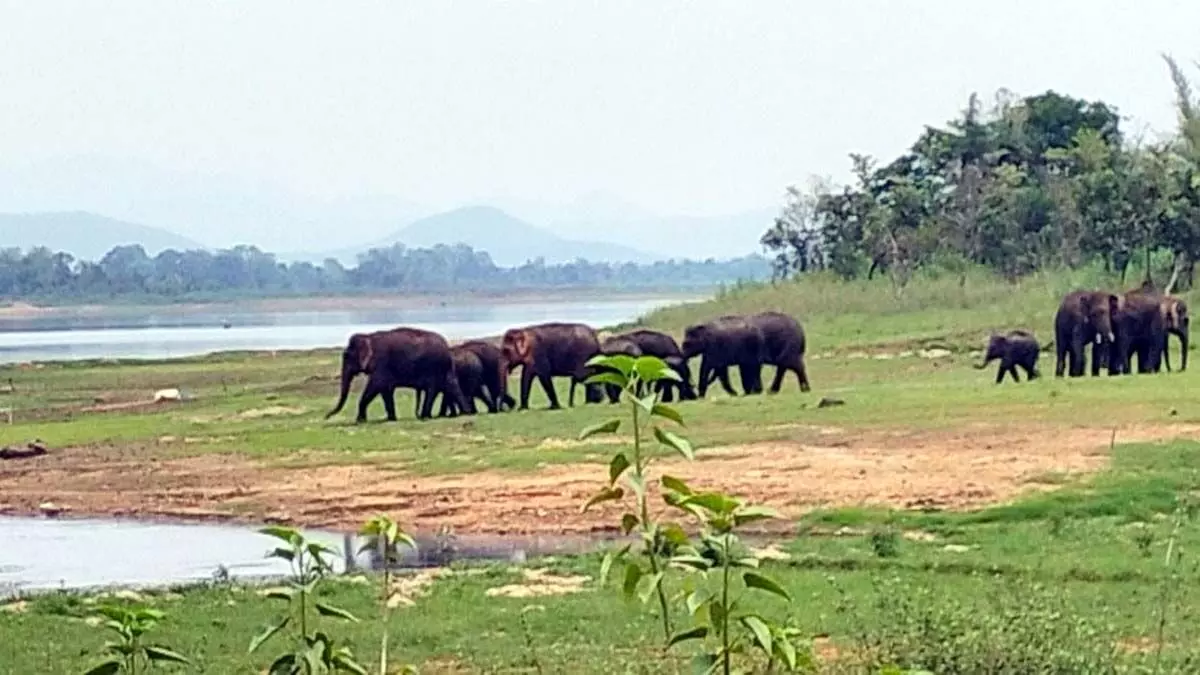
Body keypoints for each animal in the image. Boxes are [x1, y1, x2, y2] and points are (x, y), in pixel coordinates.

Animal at [326, 326, 465, 420]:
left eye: (346, 356)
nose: (326, 416)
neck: (368, 336)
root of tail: (447, 347)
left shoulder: (381, 363)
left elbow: (375, 385)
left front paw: (360, 421)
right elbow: (385, 390)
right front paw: (391, 418)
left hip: (433, 367)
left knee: (432, 389)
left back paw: (426, 416)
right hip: (444, 368)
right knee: (451, 386)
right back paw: (464, 413)